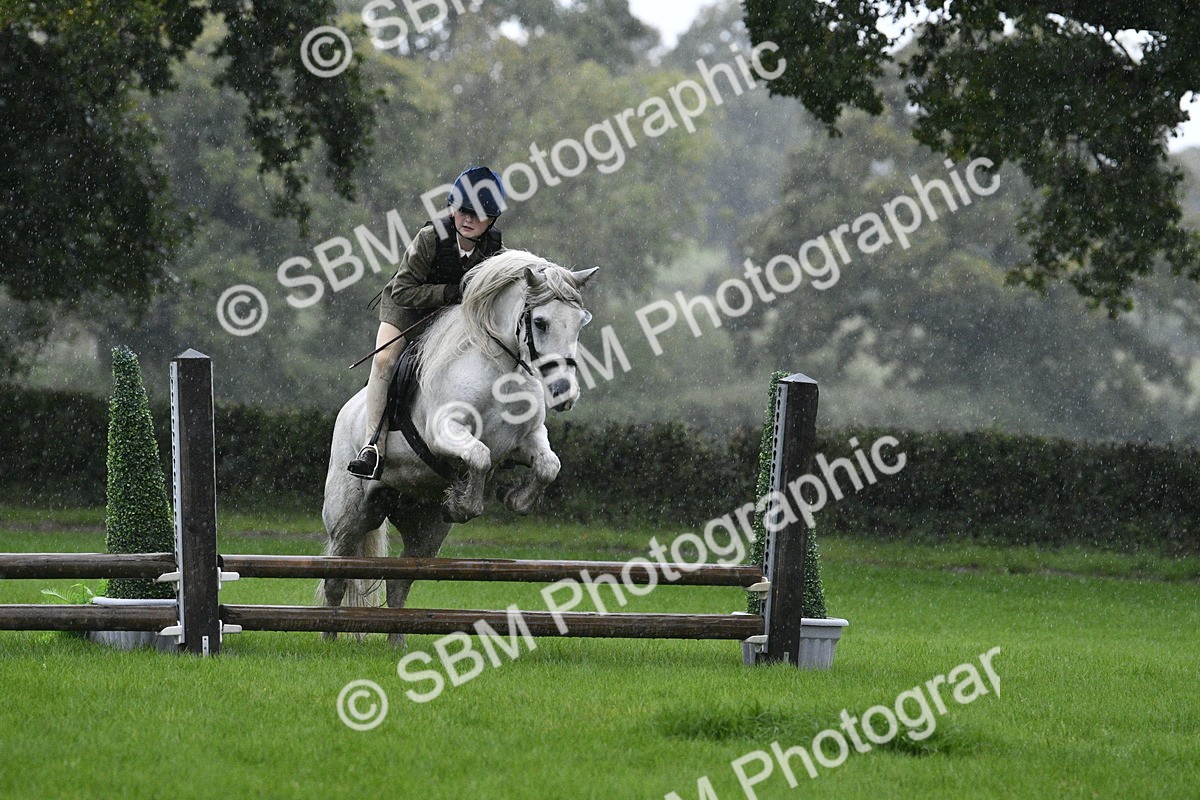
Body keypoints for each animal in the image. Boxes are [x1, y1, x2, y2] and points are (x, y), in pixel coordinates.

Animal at [319, 250, 597, 642]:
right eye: (541, 323)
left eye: (579, 323)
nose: (563, 394)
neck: (501, 370)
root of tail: (346, 412)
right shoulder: (444, 432)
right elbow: (479, 457)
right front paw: (465, 504)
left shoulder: (527, 439)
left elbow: (547, 466)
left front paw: (513, 499)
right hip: (347, 515)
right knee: (336, 577)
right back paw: (329, 636)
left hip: (424, 527)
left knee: (399, 582)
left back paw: (396, 643)